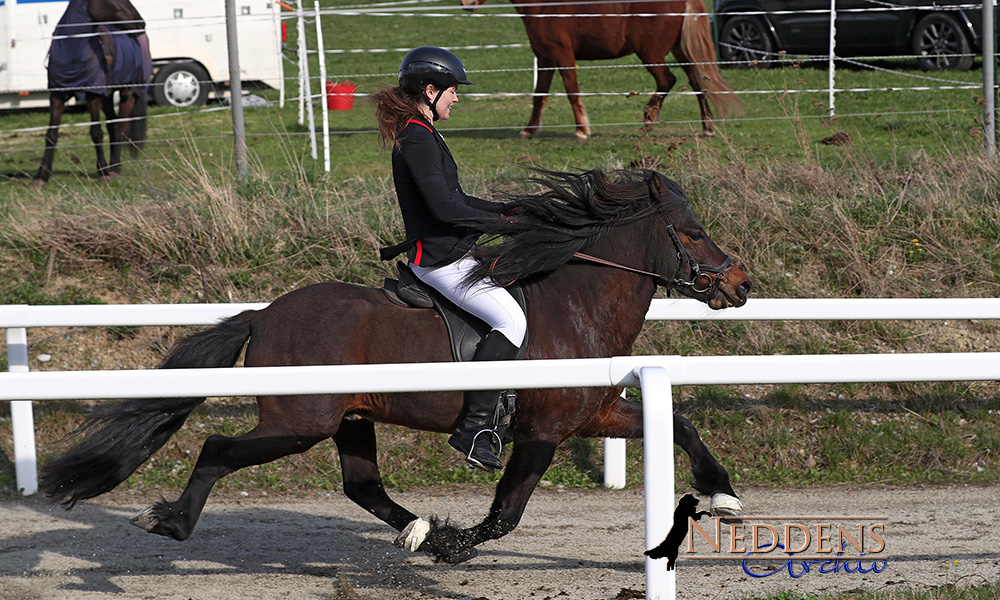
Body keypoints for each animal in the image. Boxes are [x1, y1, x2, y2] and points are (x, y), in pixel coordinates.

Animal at [31, 0, 151, 186]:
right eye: (113, 1)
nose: (141, 24)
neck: (72, 53)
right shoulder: (57, 96)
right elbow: (51, 134)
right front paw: (41, 176)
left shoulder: (93, 95)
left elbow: (96, 133)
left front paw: (103, 172)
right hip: (107, 96)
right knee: (113, 124)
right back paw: (112, 167)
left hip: (128, 93)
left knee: (121, 126)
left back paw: (114, 168)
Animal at [43, 170, 752, 568]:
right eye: (691, 233)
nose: (740, 283)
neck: (575, 304)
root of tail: (265, 313)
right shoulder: (544, 431)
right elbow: (506, 513)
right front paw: (460, 543)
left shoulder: (594, 412)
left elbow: (680, 423)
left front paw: (723, 494)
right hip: (300, 419)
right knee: (219, 447)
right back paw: (172, 521)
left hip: (351, 416)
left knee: (363, 487)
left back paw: (420, 533)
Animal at [458, 0, 736, 141]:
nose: (465, 3)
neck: (545, 7)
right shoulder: (545, 59)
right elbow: (539, 96)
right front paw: (529, 130)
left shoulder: (563, 57)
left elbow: (572, 92)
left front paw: (582, 130)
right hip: (679, 50)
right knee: (698, 82)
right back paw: (707, 127)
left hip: (651, 55)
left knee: (668, 80)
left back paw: (649, 120)